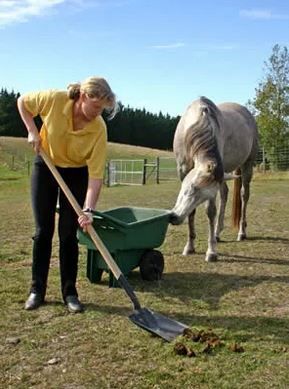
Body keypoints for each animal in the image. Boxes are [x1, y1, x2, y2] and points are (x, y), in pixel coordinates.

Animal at [170, 95, 258, 262]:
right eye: (189, 189)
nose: (174, 217)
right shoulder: (183, 171)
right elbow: (192, 212)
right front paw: (189, 247)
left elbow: (210, 211)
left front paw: (211, 252)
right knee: (225, 194)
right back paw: (217, 233)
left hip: (247, 165)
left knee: (244, 195)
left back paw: (241, 233)